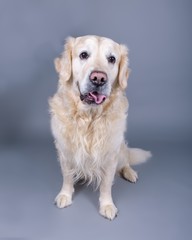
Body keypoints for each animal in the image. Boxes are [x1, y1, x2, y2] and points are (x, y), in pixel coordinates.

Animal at [48, 34, 151, 220]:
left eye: (112, 59)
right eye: (83, 55)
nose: (98, 78)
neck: (89, 118)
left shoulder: (110, 155)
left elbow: (106, 184)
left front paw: (107, 205)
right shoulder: (65, 150)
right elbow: (67, 177)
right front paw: (65, 195)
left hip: (121, 150)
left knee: (125, 161)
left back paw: (130, 173)